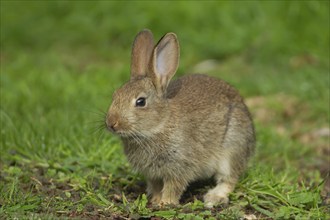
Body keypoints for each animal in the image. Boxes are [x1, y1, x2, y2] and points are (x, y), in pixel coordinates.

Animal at [105, 29, 255, 208]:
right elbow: (156, 186)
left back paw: (214, 197)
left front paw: (165, 203)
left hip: (232, 147)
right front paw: (156, 200)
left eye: (141, 102)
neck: (159, 126)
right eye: (115, 95)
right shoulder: (153, 174)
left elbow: (173, 186)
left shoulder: (180, 166)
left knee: (229, 179)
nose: (111, 123)